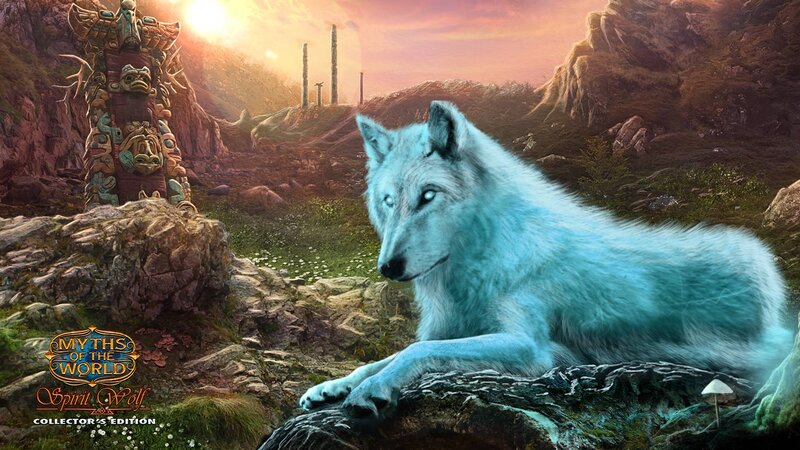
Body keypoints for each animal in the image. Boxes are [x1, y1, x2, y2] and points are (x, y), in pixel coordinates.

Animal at [299, 101, 793, 419]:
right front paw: (331, 386)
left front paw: (371, 389)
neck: (478, 261)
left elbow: (417, 350)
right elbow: (391, 353)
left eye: (428, 196)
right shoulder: (452, 329)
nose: (388, 268)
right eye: (388, 202)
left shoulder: (531, 346)